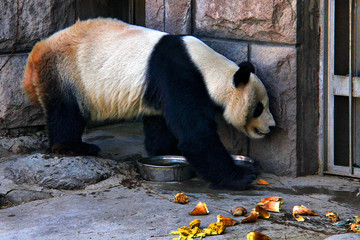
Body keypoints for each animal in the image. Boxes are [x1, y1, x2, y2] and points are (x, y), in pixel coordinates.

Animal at [22, 17, 276, 190]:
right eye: (258, 108)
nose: (271, 126)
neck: (207, 68)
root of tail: (36, 52)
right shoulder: (179, 75)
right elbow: (195, 134)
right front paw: (243, 175)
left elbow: (160, 124)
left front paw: (166, 151)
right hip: (65, 71)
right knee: (65, 112)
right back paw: (74, 147)